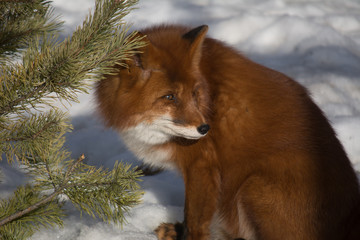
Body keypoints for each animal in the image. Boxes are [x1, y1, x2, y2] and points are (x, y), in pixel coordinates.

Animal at [95, 25, 360, 239]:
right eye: (169, 97)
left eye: (194, 93)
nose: (205, 128)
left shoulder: (202, 165)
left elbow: (194, 223)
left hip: (253, 186)